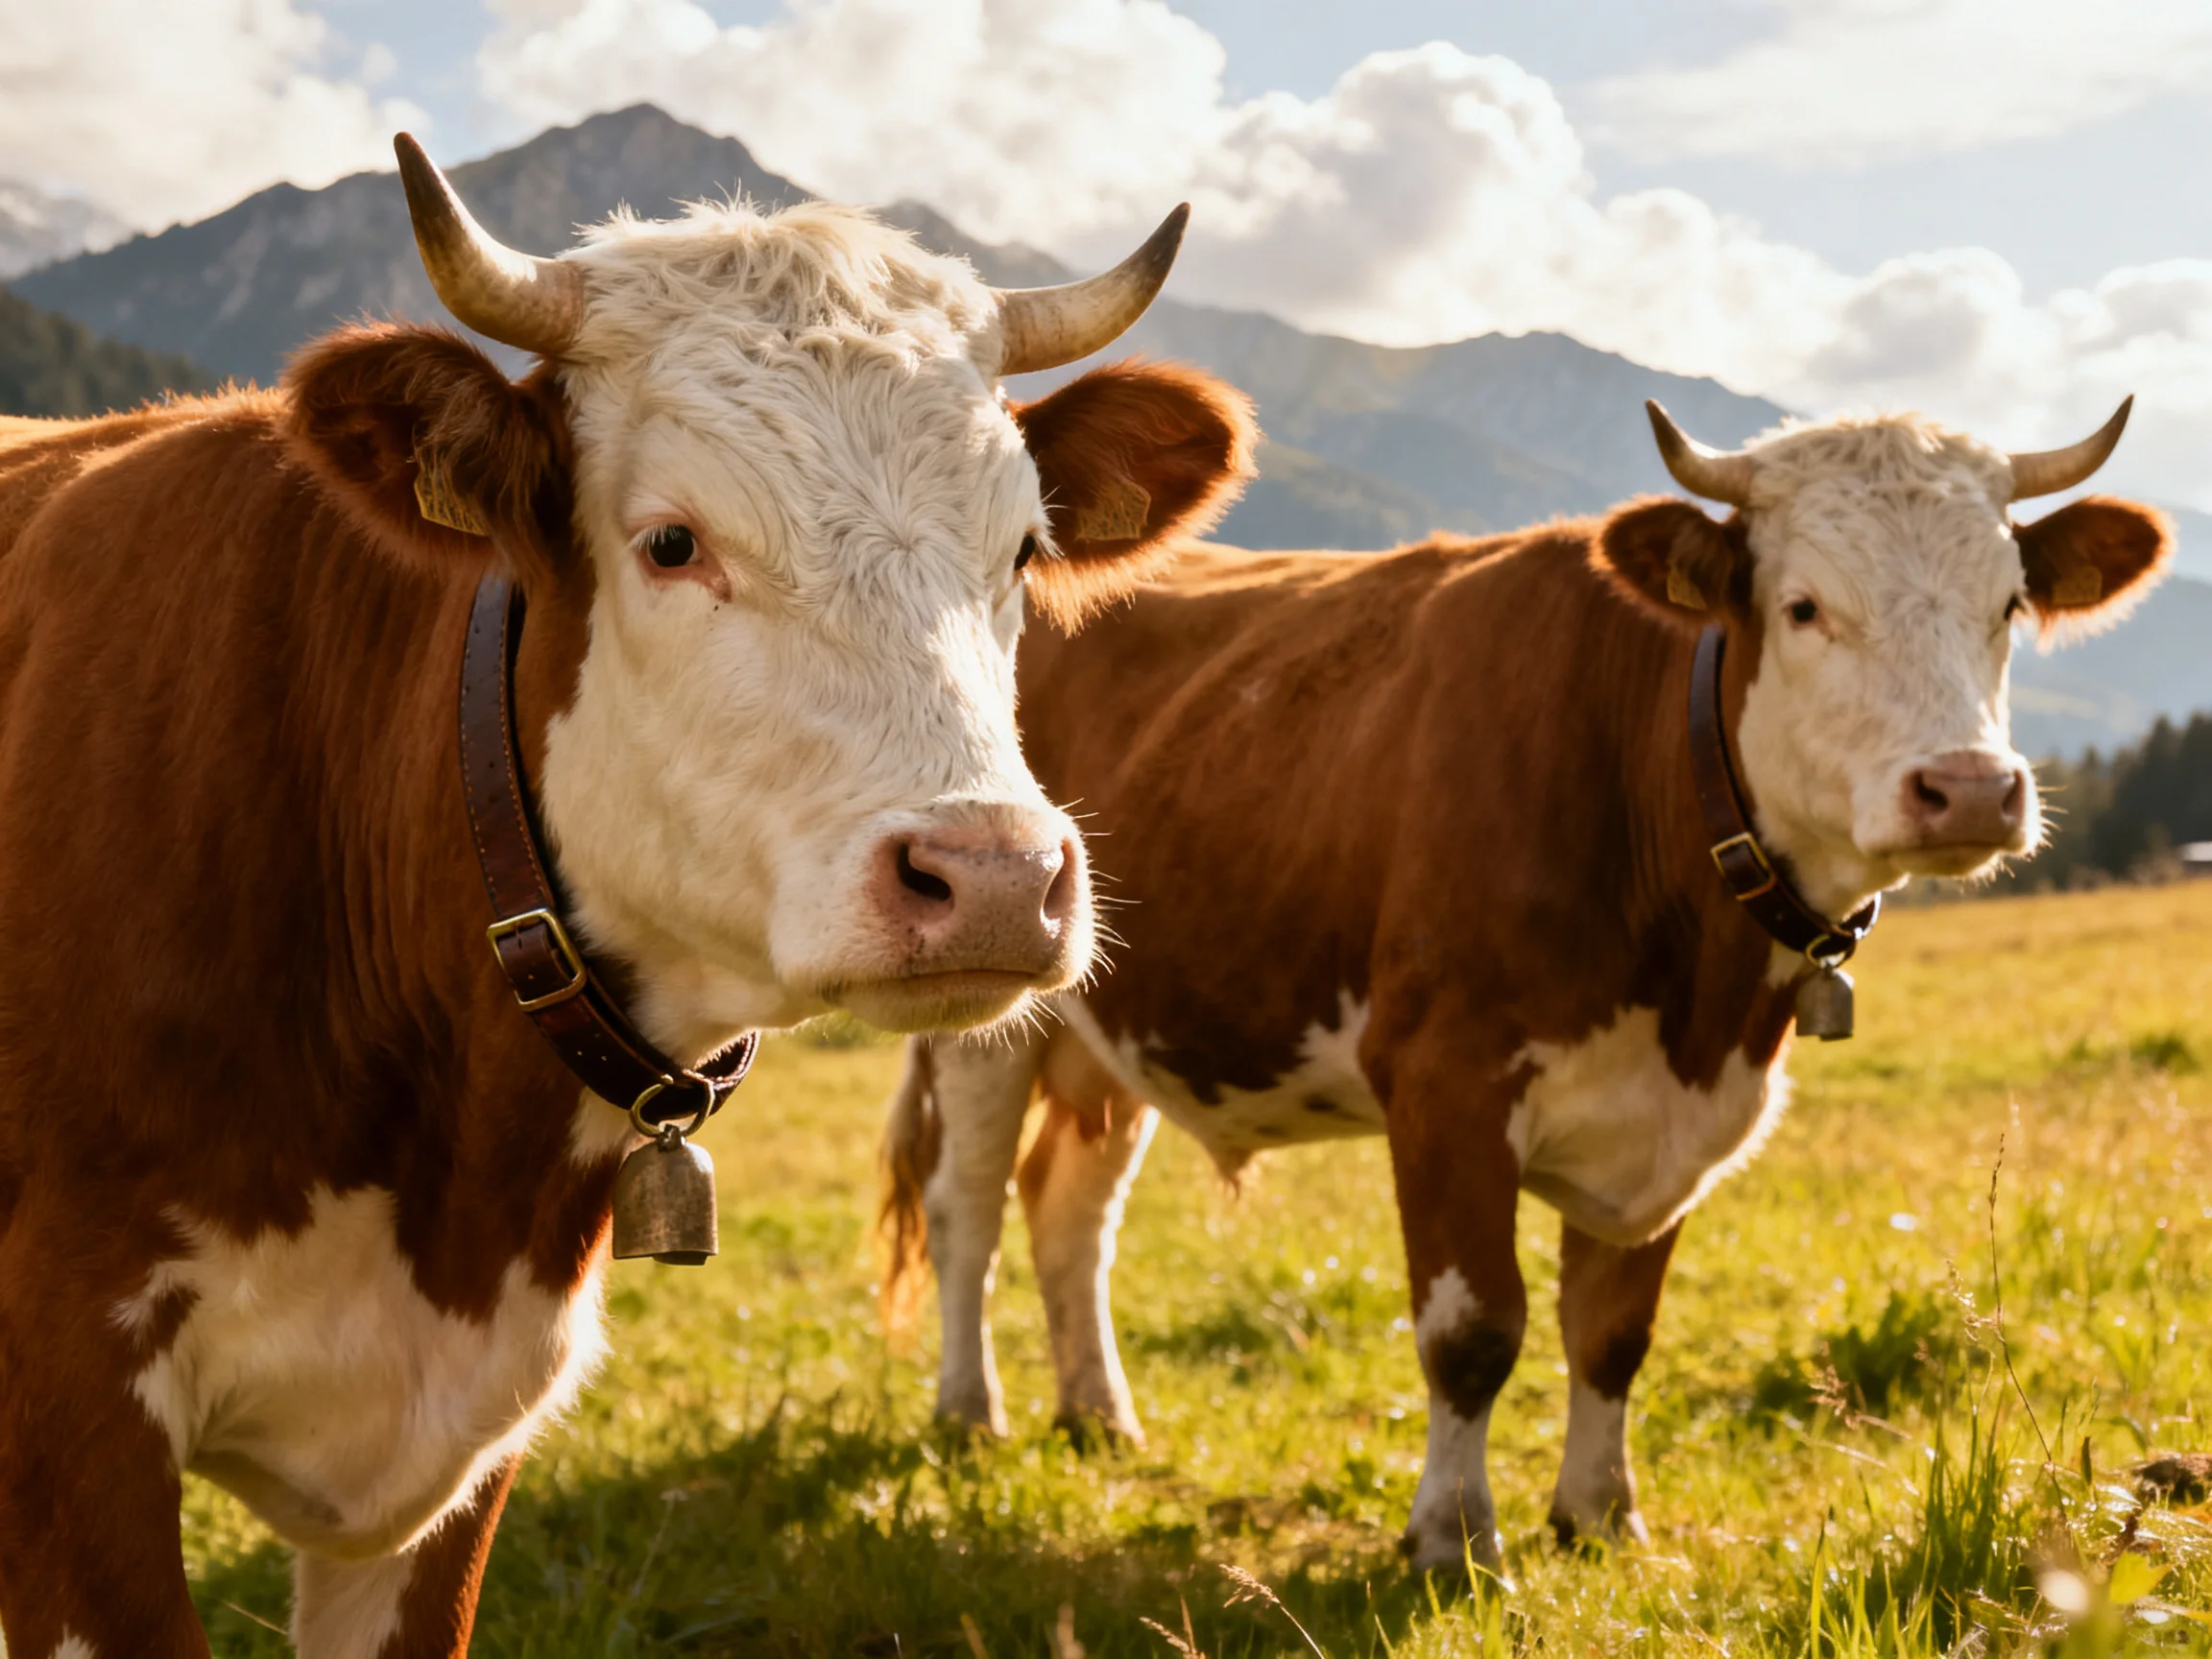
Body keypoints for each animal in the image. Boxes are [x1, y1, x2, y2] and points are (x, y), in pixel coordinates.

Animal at [880, 401, 2169, 1571]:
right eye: (1805, 607)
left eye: (2008, 605)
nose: (1970, 789)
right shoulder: (1445, 1080)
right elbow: (1473, 1329)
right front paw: (1452, 1535)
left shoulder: (1671, 1115)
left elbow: (1613, 1332)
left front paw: (1598, 1516)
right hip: (985, 1010)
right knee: (969, 1204)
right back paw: (971, 1413)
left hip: (1114, 1029)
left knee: (1071, 1210)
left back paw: (1099, 1414)